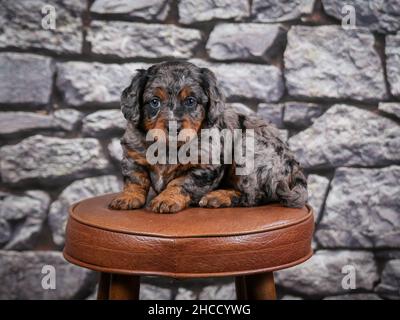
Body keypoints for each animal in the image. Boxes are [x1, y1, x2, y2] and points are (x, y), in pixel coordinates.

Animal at [108, 61, 308, 214]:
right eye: (154, 102)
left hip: (250, 153)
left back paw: (218, 197)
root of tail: (294, 167)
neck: (169, 148)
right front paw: (128, 197)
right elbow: (135, 179)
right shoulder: (133, 156)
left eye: (190, 101)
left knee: (254, 195)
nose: (173, 127)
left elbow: (181, 183)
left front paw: (166, 199)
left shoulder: (205, 167)